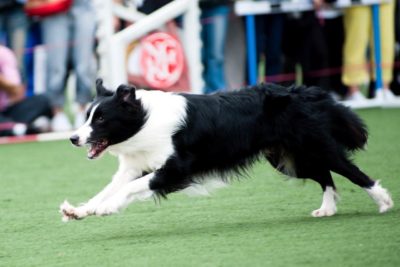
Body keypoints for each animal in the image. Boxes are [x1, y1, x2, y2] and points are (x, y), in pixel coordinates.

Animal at [60, 79, 394, 222]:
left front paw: (105, 209)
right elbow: (109, 188)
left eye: (101, 119)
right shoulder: (134, 164)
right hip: (287, 157)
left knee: (350, 170)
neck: (144, 120)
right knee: (325, 175)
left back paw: (383, 202)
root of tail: (303, 90)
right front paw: (80, 210)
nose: (73, 138)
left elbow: (129, 188)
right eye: (88, 115)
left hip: (313, 144)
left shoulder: (176, 168)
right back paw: (327, 209)